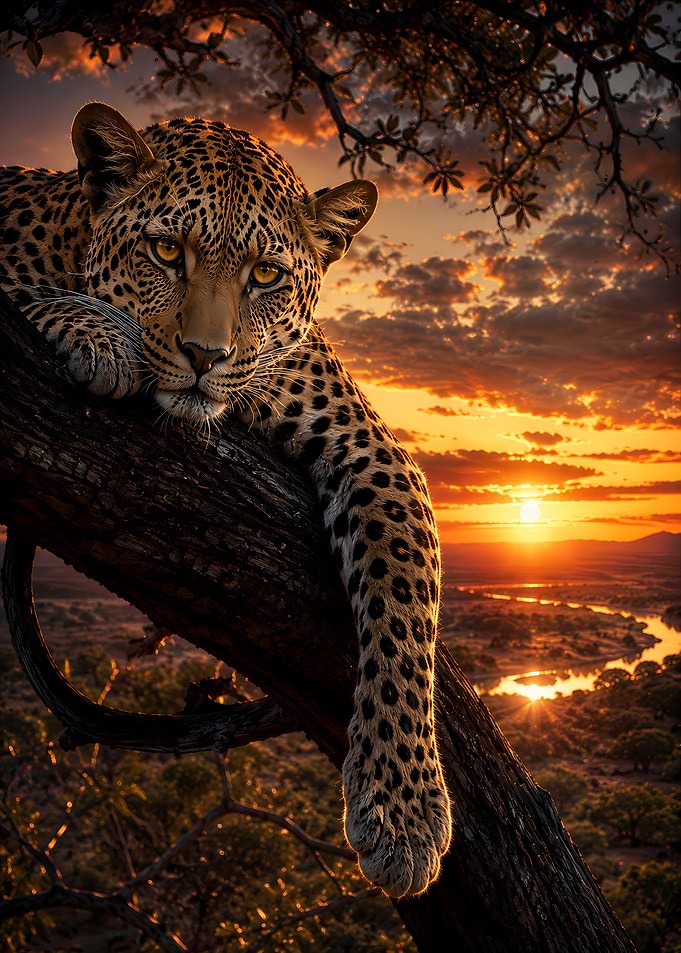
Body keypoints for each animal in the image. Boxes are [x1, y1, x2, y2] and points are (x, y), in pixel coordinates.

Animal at [0, 103, 452, 898]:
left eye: (265, 275)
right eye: (164, 251)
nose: (205, 356)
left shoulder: (368, 447)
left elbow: (403, 608)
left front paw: (403, 812)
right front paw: (98, 333)